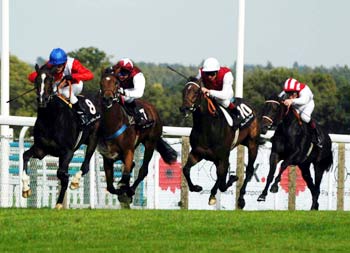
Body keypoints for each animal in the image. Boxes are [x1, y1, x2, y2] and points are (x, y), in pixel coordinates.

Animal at [22, 63, 100, 210]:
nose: (42, 100)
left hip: (93, 139)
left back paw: (75, 182)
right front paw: (26, 189)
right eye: (36, 80)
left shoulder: (68, 152)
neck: (51, 119)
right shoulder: (41, 150)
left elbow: (62, 174)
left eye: (51, 80)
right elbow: (25, 156)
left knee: (85, 166)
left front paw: (59, 202)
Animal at [98, 69, 178, 204]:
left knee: (143, 170)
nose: (107, 99)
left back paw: (130, 190)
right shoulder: (107, 156)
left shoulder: (128, 150)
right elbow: (110, 187)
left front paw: (125, 190)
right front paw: (121, 190)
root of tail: (152, 109)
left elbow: (125, 176)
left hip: (150, 143)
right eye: (101, 83)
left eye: (116, 83)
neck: (113, 124)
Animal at [179, 81, 262, 210]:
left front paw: (230, 180)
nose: (184, 108)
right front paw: (196, 187)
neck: (207, 127)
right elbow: (186, 169)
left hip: (253, 144)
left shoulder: (222, 156)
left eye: (196, 92)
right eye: (183, 91)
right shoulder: (197, 153)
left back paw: (241, 199)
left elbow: (222, 180)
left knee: (249, 170)